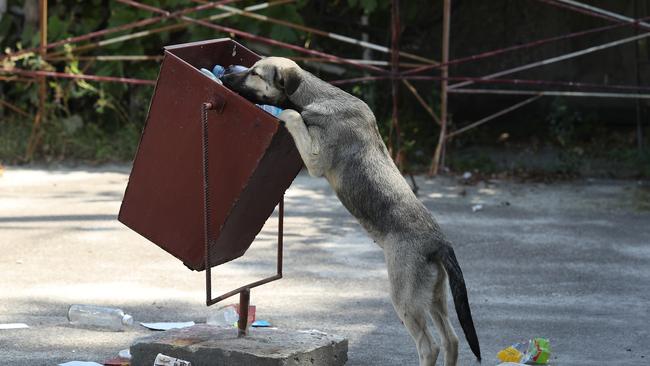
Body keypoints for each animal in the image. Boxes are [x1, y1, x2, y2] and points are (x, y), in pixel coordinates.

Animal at [220, 57, 478, 366]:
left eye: (255, 74)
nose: (225, 74)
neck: (315, 95)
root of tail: (440, 243)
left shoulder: (316, 159)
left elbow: (293, 116)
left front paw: (287, 113)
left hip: (406, 298)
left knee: (430, 346)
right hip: (434, 295)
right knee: (451, 340)